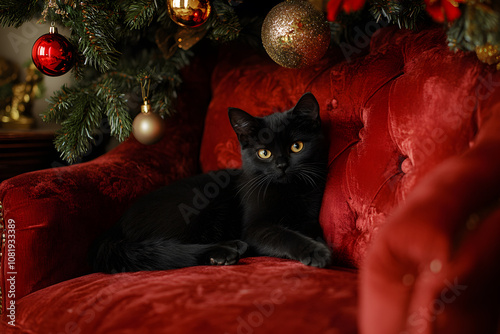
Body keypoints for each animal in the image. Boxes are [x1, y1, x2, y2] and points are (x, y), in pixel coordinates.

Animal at [90, 90, 332, 272]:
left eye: (296, 146)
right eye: (264, 153)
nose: (282, 165)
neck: (290, 191)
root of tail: (115, 227)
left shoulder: (310, 212)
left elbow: (310, 225)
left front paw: (316, 240)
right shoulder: (254, 228)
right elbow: (284, 235)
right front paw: (316, 252)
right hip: (193, 206)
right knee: (168, 248)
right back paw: (226, 251)